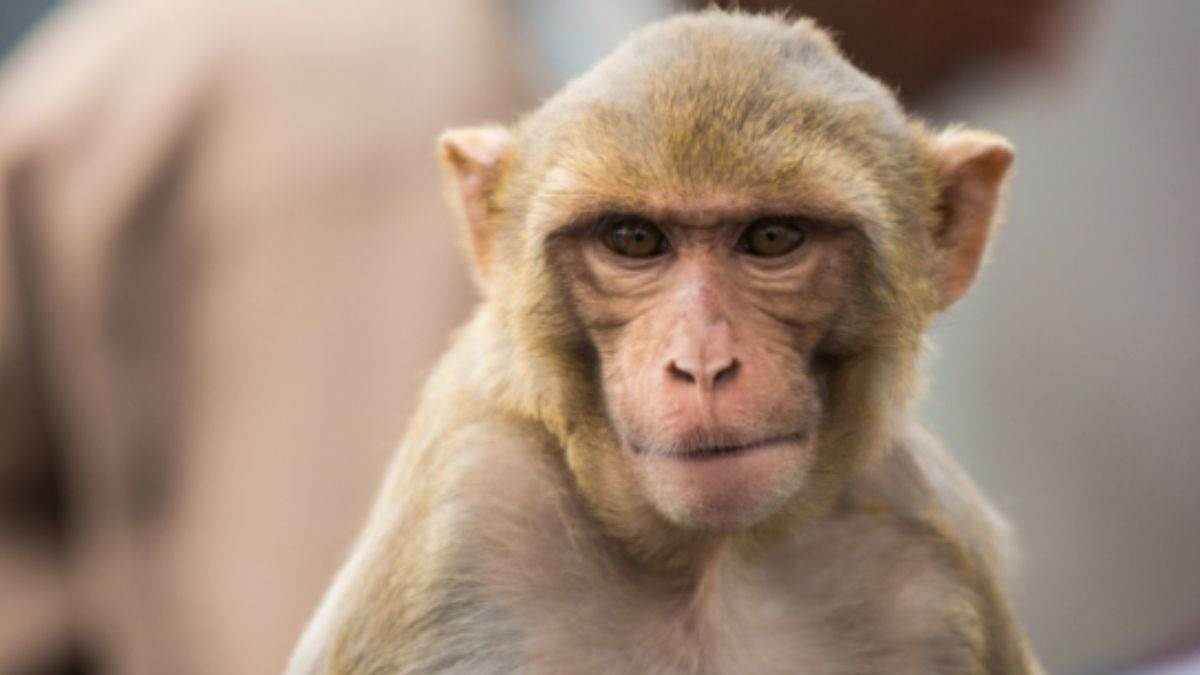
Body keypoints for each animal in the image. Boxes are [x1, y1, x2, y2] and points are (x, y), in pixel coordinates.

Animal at [288, 10, 1042, 675]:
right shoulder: (462, 521)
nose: (703, 365)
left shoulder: (938, 556)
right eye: (633, 238)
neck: (710, 563)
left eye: (773, 237)